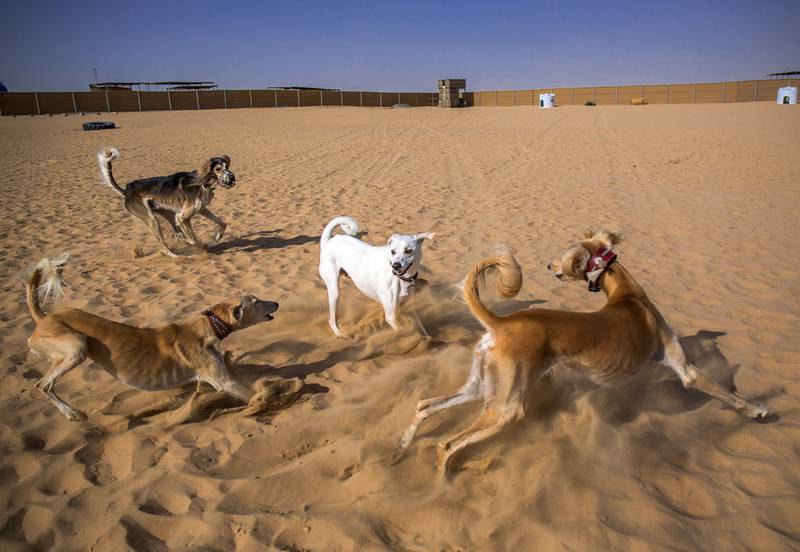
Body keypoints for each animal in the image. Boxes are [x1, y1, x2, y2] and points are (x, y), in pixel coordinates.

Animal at [25, 256, 280, 420]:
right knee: (42, 385)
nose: (277, 302)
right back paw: (73, 413)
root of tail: (43, 317)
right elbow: (252, 395)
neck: (207, 326)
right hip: (77, 346)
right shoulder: (224, 382)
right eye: (256, 301)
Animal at [97, 148, 234, 258]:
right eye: (218, 169)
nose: (232, 177)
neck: (201, 183)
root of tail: (127, 190)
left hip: (168, 215)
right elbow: (193, 240)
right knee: (164, 249)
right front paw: (184, 240)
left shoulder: (200, 209)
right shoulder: (182, 217)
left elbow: (223, 223)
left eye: (227, 167)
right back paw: (179, 256)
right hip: (153, 220)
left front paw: (217, 236)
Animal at [400, 231, 768, 476]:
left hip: (483, 386)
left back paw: (403, 446)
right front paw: (758, 410)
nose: (549, 265)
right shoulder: (683, 367)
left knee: (424, 405)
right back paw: (443, 487)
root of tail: (501, 324)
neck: (626, 295)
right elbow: (716, 389)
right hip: (507, 406)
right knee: (446, 444)